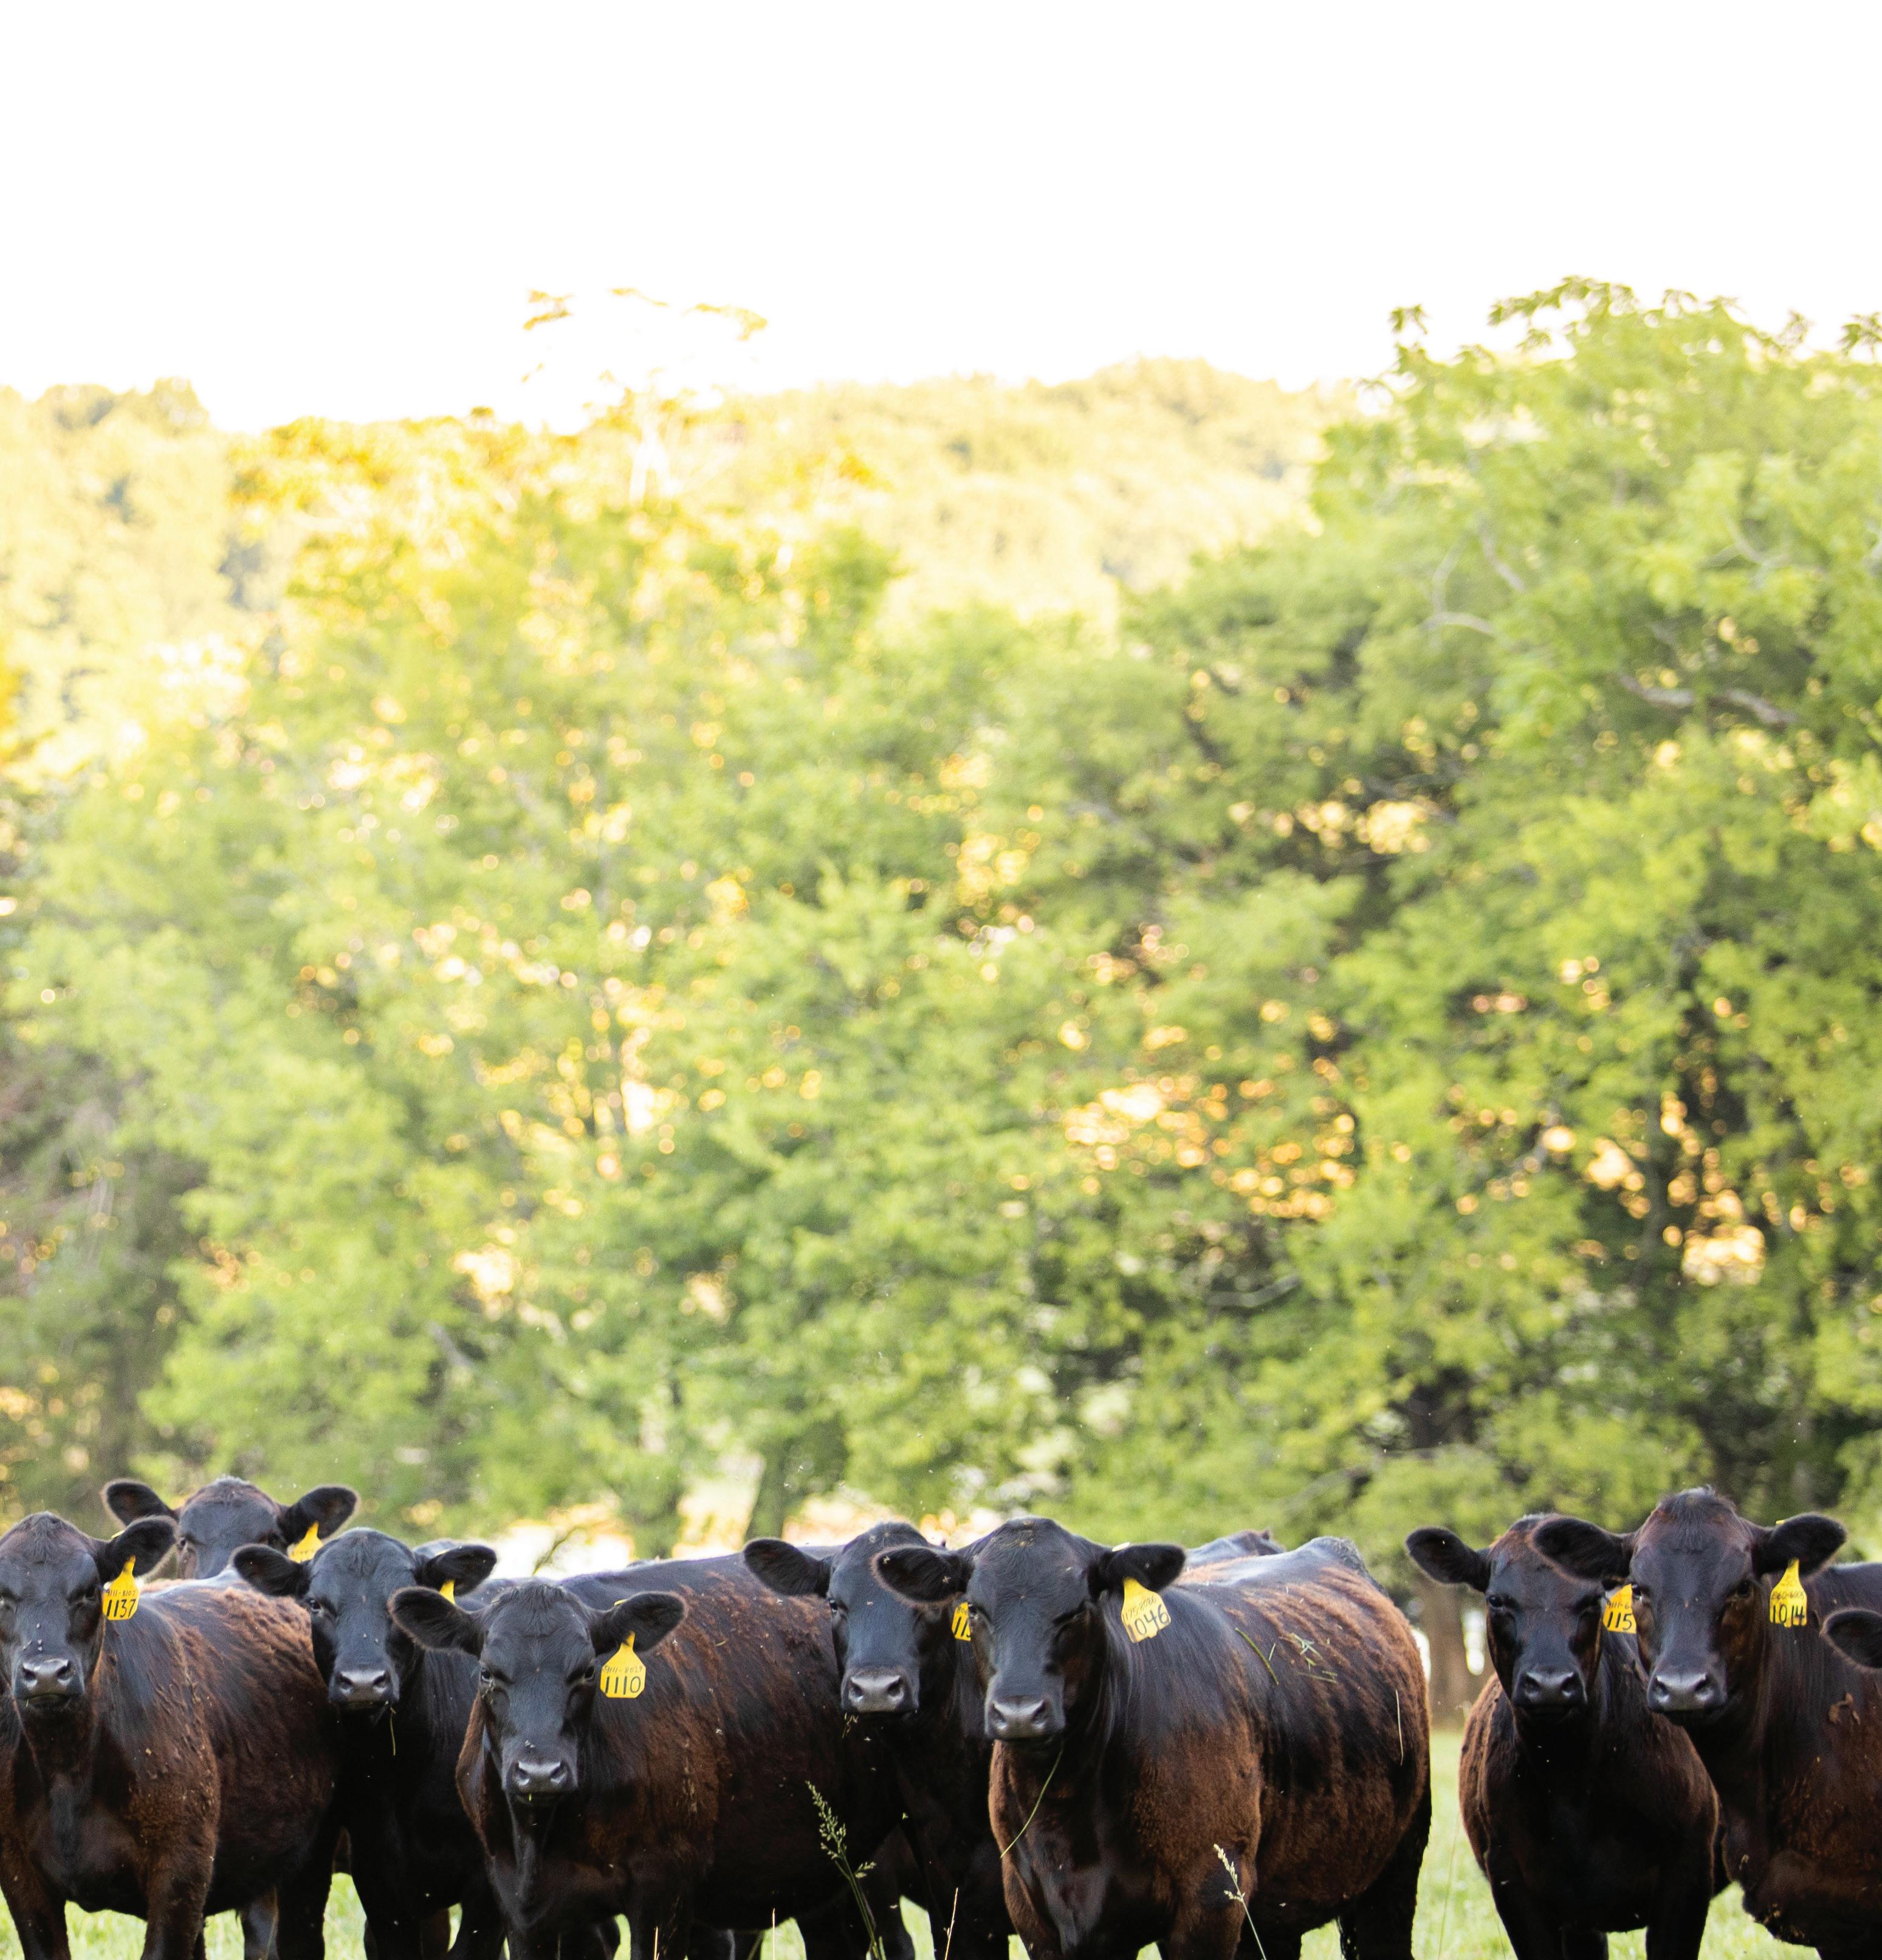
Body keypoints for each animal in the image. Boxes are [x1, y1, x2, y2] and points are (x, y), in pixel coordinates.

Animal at [0, 1511, 343, 1960]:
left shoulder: (182, 1867)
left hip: (309, 1856)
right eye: (2, 1595)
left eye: (90, 1591)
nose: (46, 1673)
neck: (67, 1769)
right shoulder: (19, 1875)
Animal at [390, 1554, 907, 1960]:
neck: (548, 1835)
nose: (539, 1772)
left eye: (587, 1671)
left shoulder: (664, 1890)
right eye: (487, 1673)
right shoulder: (517, 1903)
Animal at [874, 1519, 1429, 1960]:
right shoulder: (1037, 1915)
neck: (1068, 1810)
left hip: (1392, 1878)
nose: (1019, 1711)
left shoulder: (1210, 1900)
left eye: (1078, 1608)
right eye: (974, 1608)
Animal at [1406, 1515, 1720, 1958]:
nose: (1551, 1683)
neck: (1569, 1779)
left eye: (1593, 1600)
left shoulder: (1688, 1873)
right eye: (1496, 1600)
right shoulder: (1514, 1883)